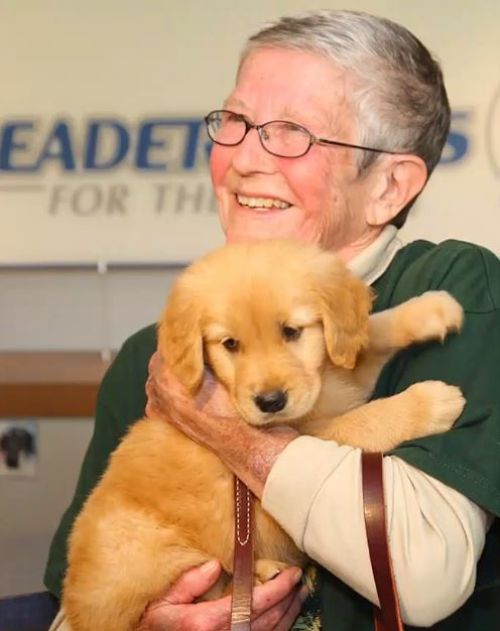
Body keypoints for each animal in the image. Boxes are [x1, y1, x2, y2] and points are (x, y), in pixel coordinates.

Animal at [63, 238, 464, 631]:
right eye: (230, 344)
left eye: (292, 331)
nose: (270, 401)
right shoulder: (313, 432)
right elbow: (367, 419)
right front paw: (430, 403)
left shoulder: (337, 380)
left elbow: (371, 334)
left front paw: (433, 309)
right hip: (147, 547)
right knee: (200, 592)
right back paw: (262, 575)